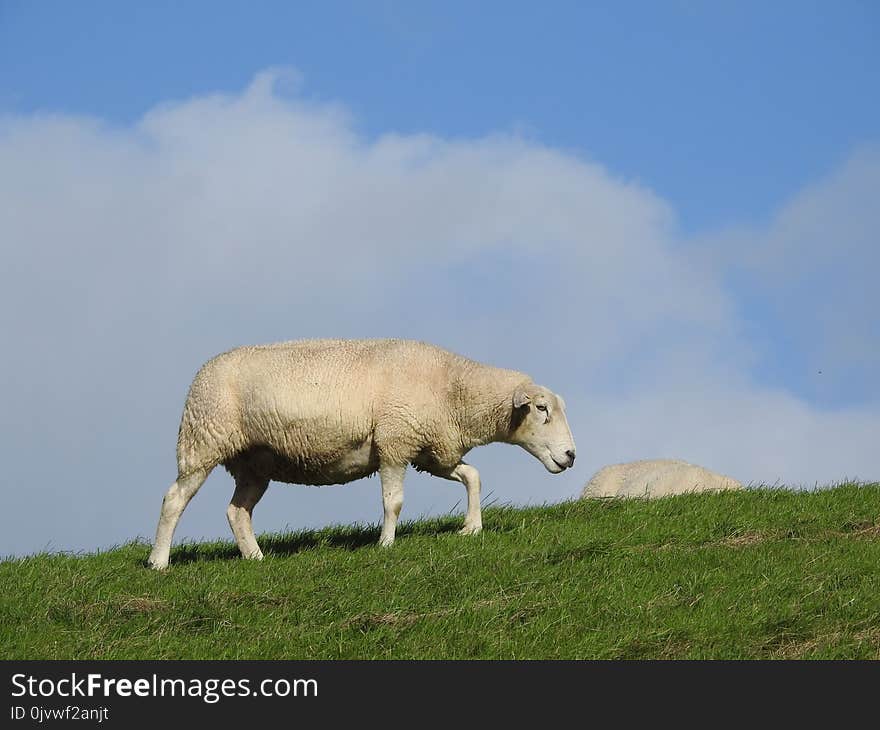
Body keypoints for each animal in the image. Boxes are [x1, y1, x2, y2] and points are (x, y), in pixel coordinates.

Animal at [150, 338, 576, 564]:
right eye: (542, 409)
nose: (571, 456)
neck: (452, 390)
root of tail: (202, 371)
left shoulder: (429, 449)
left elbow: (472, 475)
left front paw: (471, 527)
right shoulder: (394, 442)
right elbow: (394, 502)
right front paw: (385, 544)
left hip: (255, 463)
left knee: (237, 511)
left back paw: (255, 557)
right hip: (202, 440)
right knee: (173, 499)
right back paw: (159, 561)